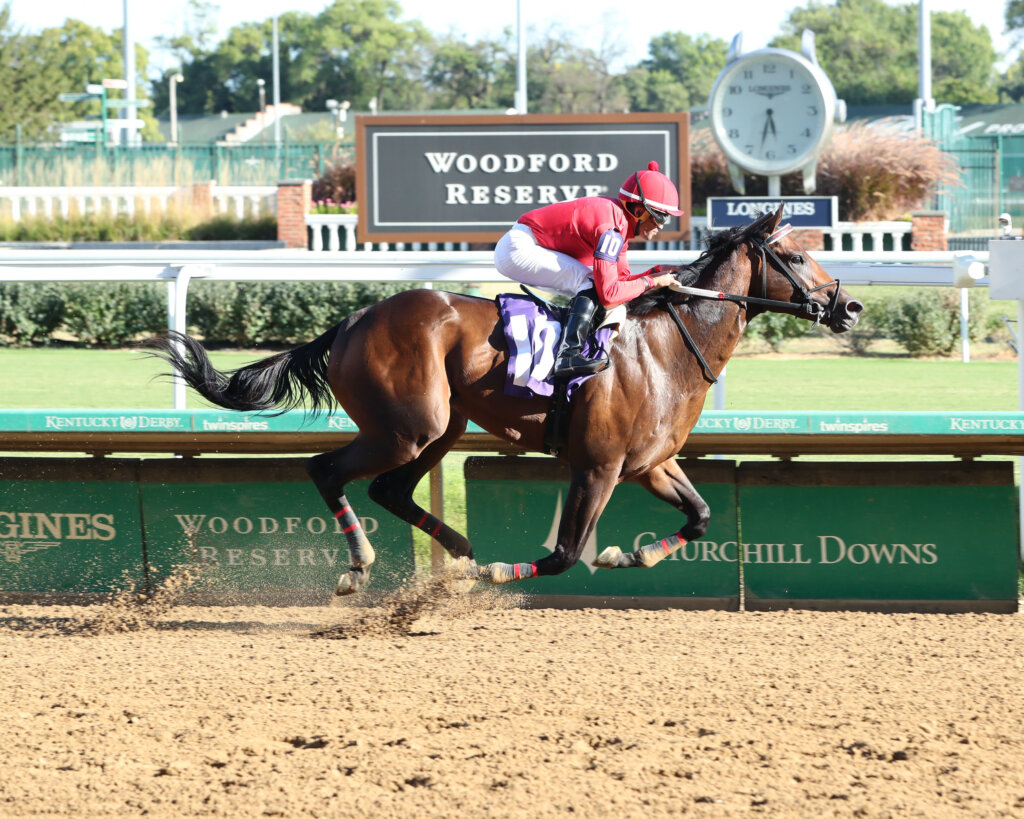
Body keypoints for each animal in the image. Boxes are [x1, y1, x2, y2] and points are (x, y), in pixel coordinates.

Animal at [146, 201, 864, 593]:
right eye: (798, 257)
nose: (850, 305)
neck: (664, 347)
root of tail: (352, 320)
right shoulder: (597, 467)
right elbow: (564, 553)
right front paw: (503, 572)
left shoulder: (651, 464)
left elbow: (701, 516)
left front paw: (632, 552)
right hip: (409, 425)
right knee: (327, 470)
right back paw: (364, 565)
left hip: (442, 428)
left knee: (389, 490)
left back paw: (460, 554)